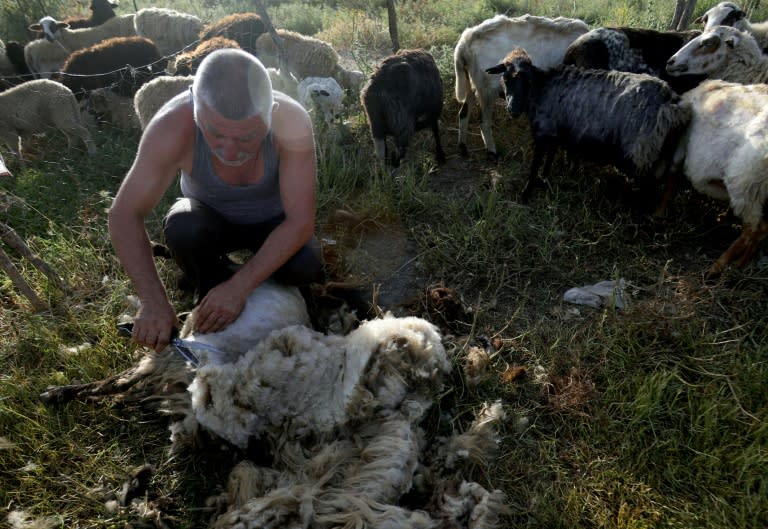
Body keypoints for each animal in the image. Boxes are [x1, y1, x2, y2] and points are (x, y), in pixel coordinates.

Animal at [452, 13, 584, 158]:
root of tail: (465, 41)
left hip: (470, 82)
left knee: (463, 113)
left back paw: (463, 147)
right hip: (487, 89)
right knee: (484, 122)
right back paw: (492, 152)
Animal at [488, 48, 692, 202]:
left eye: (527, 81)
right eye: (505, 79)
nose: (513, 110)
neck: (541, 89)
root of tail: (671, 102)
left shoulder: (543, 133)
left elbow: (535, 165)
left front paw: (526, 193)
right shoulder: (553, 133)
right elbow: (549, 159)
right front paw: (545, 179)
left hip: (642, 152)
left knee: (649, 185)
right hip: (657, 152)